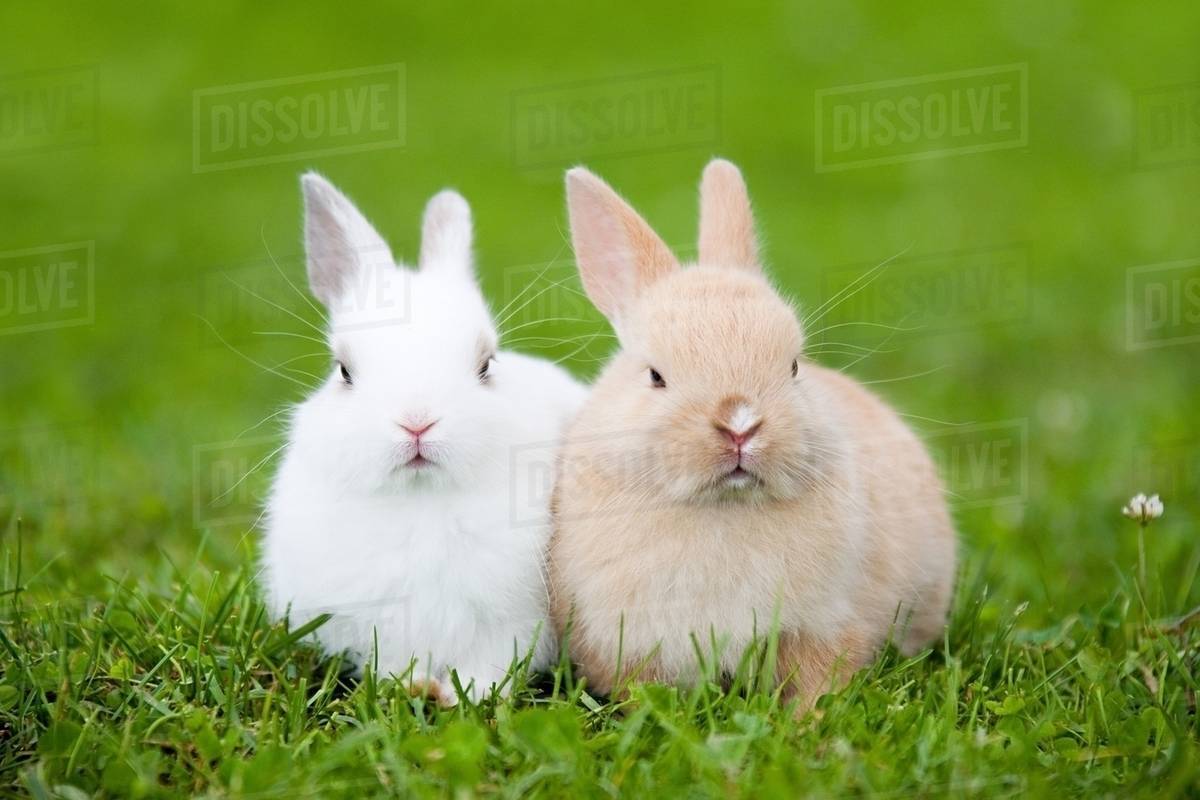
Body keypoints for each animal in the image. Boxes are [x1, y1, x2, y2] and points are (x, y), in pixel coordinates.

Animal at [261, 173, 587, 705]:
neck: (422, 499)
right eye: (344, 371)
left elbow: (494, 665)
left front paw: (462, 696)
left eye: (486, 365)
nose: (417, 423)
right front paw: (405, 686)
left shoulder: (511, 622)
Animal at [548, 159, 956, 710]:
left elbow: (819, 681)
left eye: (794, 366)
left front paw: (808, 721)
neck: (724, 507)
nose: (740, 423)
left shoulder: (826, 627)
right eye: (655, 376)